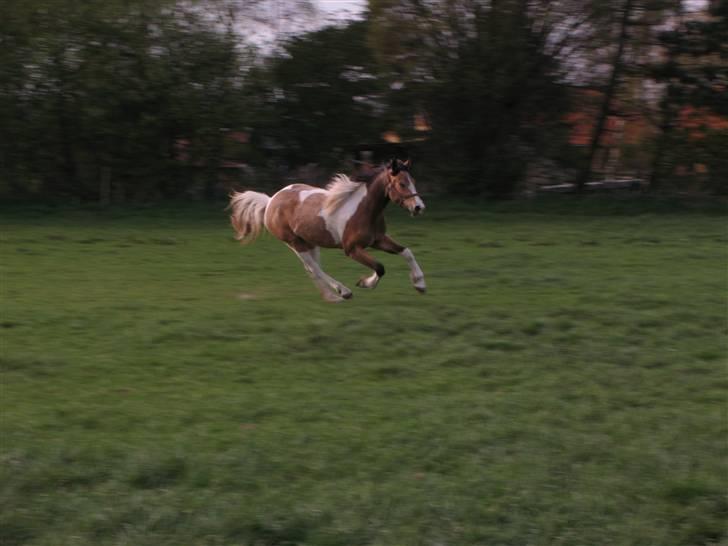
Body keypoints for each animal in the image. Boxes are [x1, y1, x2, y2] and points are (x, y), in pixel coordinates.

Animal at [229, 157, 426, 302]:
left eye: (413, 181)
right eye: (402, 183)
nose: (418, 207)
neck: (364, 210)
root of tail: (270, 201)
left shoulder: (378, 240)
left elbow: (406, 252)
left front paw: (420, 285)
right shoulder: (351, 249)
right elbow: (380, 267)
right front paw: (364, 283)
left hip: (310, 242)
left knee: (313, 269)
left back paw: (331, 297)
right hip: (295, 243)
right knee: (314, 269)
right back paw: (343, 292)